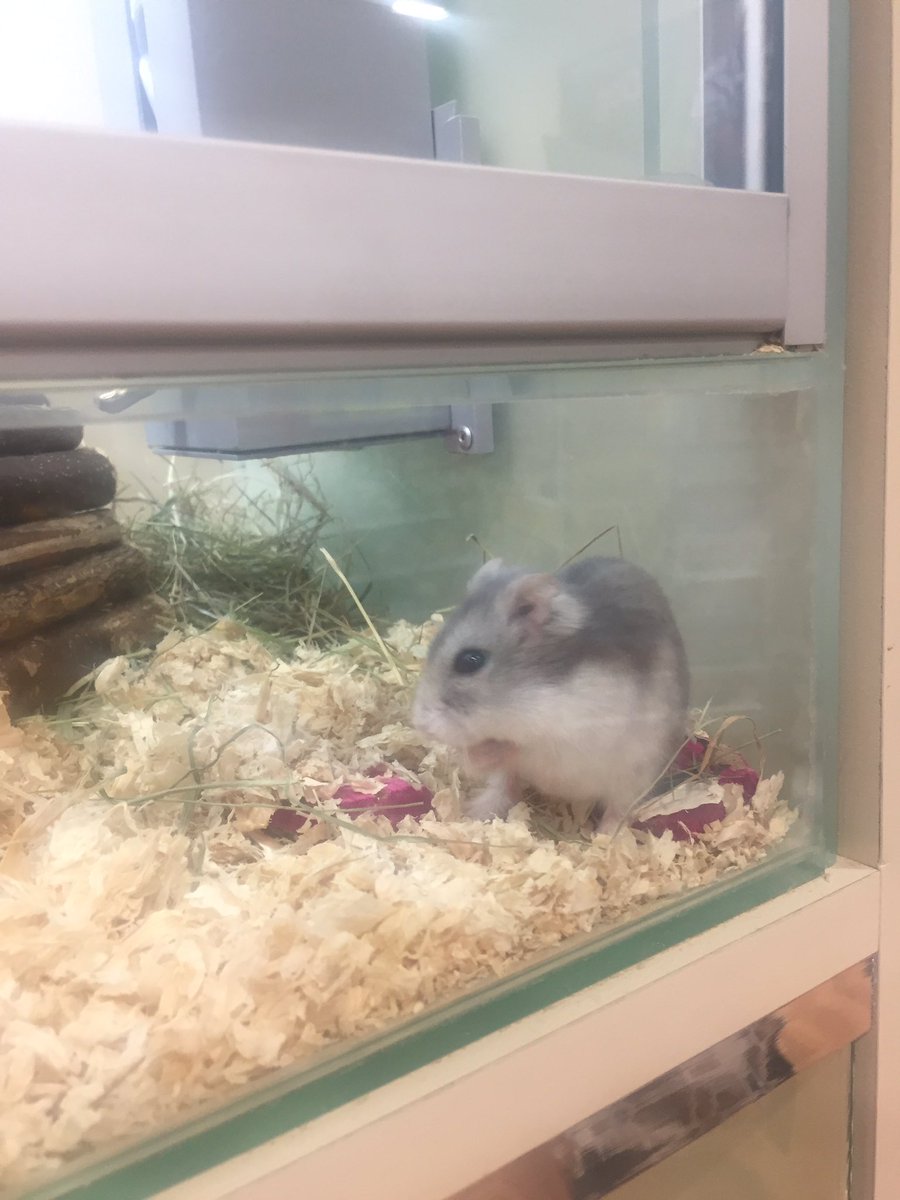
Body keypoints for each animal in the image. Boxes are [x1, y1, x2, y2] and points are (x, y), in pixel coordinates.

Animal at [412, 556, 690, 833]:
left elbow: (519, 749)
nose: (421, 725)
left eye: (470, 660)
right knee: (506, 786)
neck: (530, 696)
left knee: (619, 811)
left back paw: (603, 836)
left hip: (636, 776)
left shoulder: (572, 735)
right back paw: (475, 812)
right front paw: (464, 755)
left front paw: (473, 755)